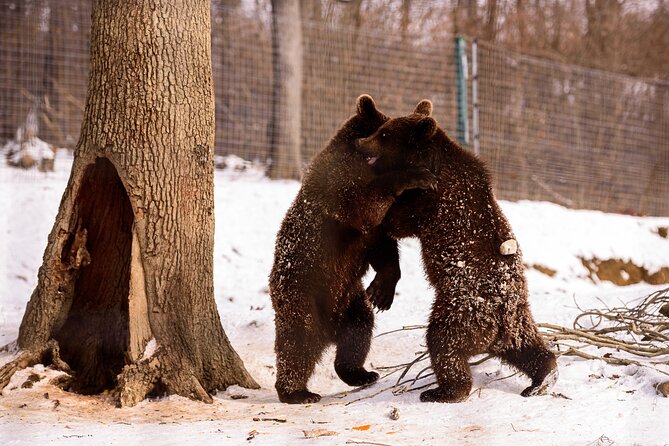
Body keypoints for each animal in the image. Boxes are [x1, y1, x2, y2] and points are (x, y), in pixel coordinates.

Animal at [269, 95, 438, 404]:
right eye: (382, 132)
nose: (362, 145)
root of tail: (328, 331)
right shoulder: (338, 187)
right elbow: (363, 204)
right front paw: (415, 175)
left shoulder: (372, 232)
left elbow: (383, 248)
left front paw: (383, 291)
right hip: (304, 294)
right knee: (297, 343)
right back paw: (297, 392)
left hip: (350, 301)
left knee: (359, 333)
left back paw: (361, 373)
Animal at [354, 99, 558, 403]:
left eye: (384, 134)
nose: (360, 143)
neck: (432, 161)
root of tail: (501, 318)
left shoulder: (432, 201)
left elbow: (397, 220)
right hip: (519, 319)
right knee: (528, 347)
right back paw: (542, 379)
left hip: (460, 310)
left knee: (443, 341)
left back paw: (442, 391)